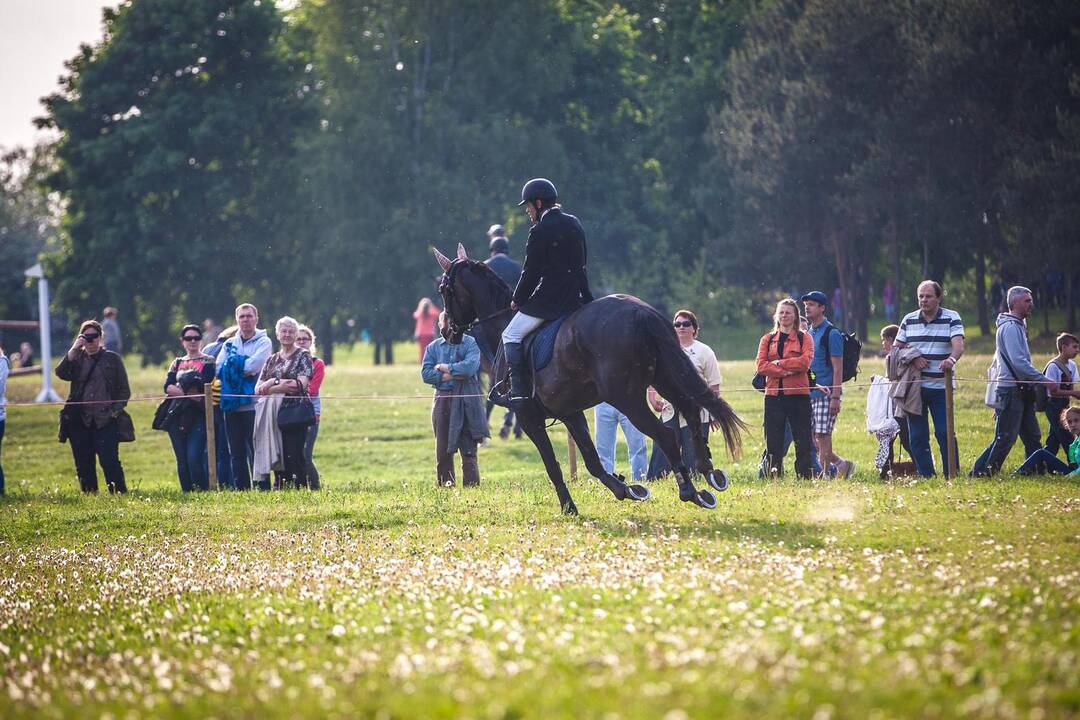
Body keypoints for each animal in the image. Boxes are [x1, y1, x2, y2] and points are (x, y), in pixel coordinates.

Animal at [434, 245, 747, 515]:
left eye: (444, 290)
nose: (446, 330)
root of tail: (641, 312)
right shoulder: (570, 412)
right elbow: (592, 460)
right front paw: (627, 489)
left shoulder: (528, 417)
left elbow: (552, 465)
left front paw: (569, 508)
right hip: (665, 378)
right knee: (692, 411)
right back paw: (710, 473)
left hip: (626, 397)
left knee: (666, 435)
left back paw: (691, 492)